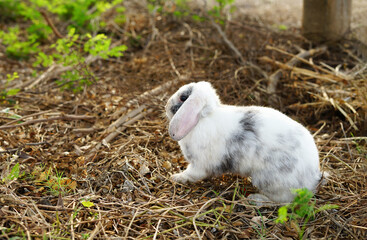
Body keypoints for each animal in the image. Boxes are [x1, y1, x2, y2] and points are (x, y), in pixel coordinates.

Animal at [165, 81, 326, 203]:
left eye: (183, 97)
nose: (166, 106)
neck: (202, 119)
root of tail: (313, 178)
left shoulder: (199, 165)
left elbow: (191, 174)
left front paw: (175, 177)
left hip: (268, 181)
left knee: (283, 201)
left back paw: (256, 199)